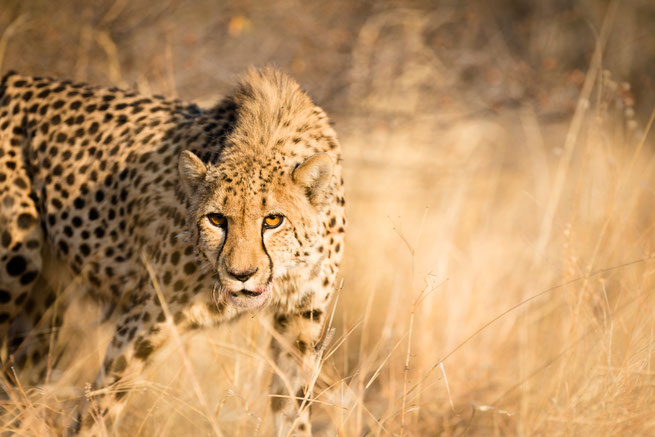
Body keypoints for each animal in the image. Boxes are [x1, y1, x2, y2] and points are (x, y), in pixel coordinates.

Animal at [0, 66, 346, 434]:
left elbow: (294, 411)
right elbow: (100, 407)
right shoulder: (147, 319)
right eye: (216, 219)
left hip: (44, 302)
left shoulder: (298, 323)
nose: (241, 274)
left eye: (273, 220)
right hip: (15, 267)